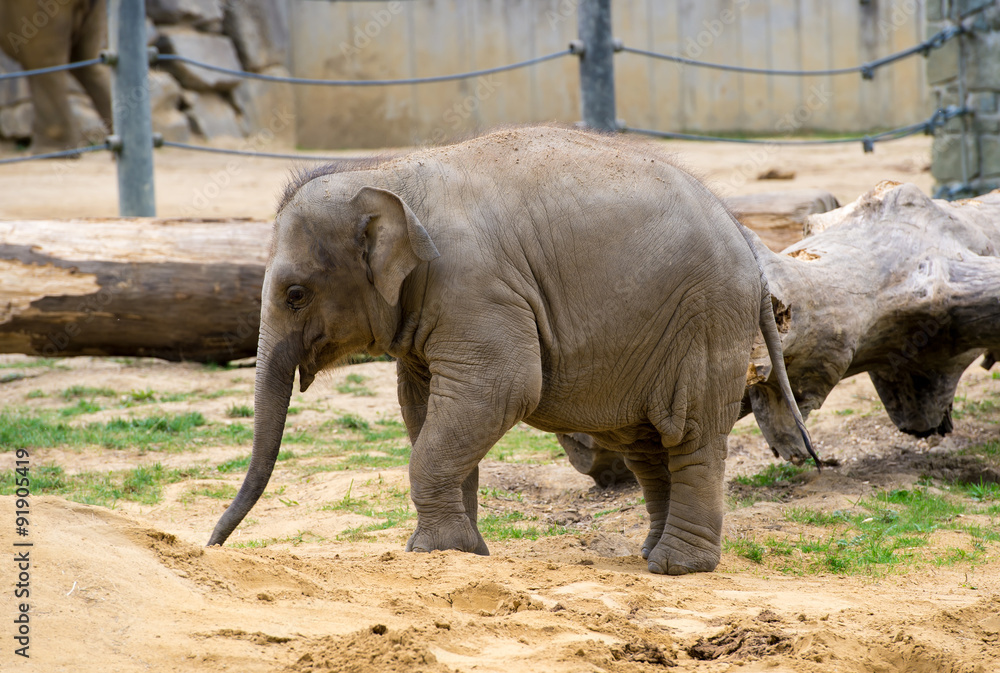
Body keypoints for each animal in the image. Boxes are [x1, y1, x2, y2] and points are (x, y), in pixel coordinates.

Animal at [207, 125, 815, 575]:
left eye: (295, 294)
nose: (211, 546)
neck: (386, 171)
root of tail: (747, 238)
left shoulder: (477, 289)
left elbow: (501, 389)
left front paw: (435, 551)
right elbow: (423, 410)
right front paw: (460, 551)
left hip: (705, 320)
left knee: (688, 433)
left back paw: (676, 567)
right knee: (645, 445)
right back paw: (649, 554)